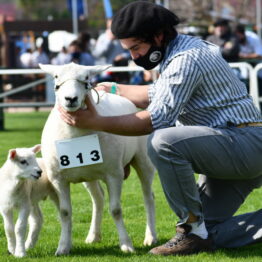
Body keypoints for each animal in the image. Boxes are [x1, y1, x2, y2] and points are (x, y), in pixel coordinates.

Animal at [39, 62, 156, 255]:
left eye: (86, 78)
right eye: (56, 77)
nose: (70, 99)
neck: (74, 132)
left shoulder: (114, 174)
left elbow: (116, 210)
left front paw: (126, 245)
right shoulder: (57, 178)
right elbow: (64, 212)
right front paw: (63, 247)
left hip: (143, 159)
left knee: (148, 197)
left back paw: (150, 237)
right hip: (88, 174)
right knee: (98, 198)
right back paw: (93, 236)